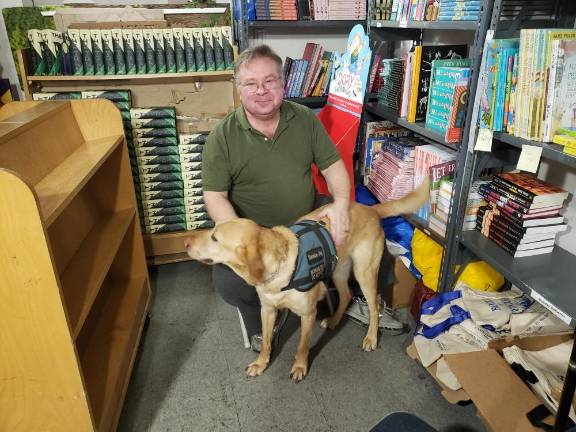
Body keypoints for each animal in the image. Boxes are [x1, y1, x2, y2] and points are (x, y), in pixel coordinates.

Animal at [184, 179, 428, 382]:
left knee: (374, 306)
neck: (279, 274)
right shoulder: (267, 310)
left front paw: (300, 367)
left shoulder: (307, 314)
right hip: (338, 270)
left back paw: (371, 338)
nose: (185, 242)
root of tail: (370, 208)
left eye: (215, 238)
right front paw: (261, 363)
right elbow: (266, 342)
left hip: (364, 272)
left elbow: (302, 345)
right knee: (346, 295)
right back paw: (333, 321)